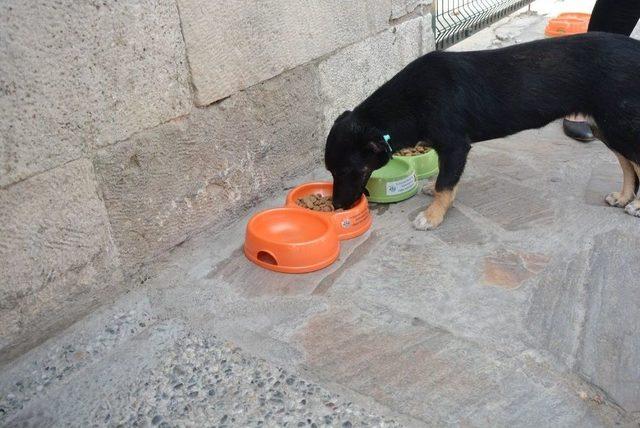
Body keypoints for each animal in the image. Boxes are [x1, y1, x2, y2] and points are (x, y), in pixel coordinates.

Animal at [324, 32, 640, 231]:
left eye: (346, 171)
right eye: (330, 172)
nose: (337, 205)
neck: (412, 100)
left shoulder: (455, 146)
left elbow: (446, 184)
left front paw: (433, 216)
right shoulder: (448, 150)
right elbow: (446, 179)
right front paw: (434, 194)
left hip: (619, 125)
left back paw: (636, 206)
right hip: (608, 128)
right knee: (628, 165)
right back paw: (624, 197)